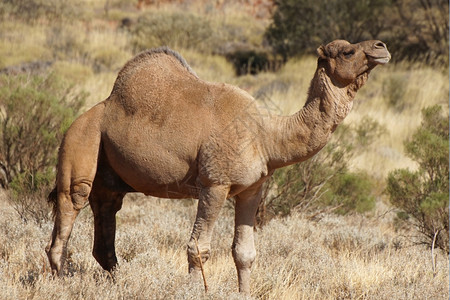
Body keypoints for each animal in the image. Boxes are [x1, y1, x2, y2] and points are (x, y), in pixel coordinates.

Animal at [44, 38, 390, 294]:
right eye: (348, 51)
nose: (381, 47)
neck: (267, 135)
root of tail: (92, 111)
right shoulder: (214, 184)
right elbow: (198, 248)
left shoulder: (252, 189)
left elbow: (245, 253)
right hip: (82, 141)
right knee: (69, 210)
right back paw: (63, 284)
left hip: (110, 177)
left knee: (106, 219)